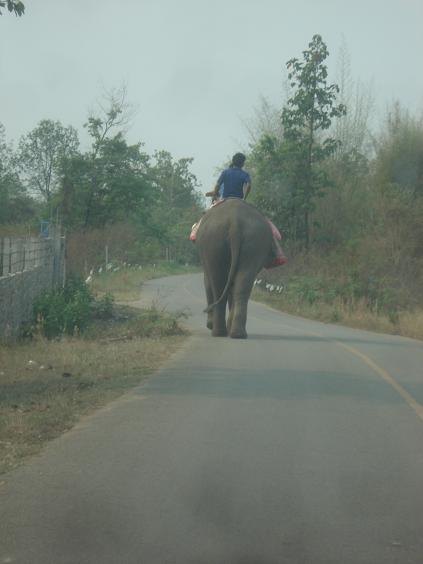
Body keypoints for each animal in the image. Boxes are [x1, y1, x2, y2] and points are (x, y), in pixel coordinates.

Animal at [197, 199, 276, 340]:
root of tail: (235, 223)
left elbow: (208, 283)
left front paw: (210, 324)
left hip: (214, 242)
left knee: (218, 285)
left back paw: (218, 332)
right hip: (253, 243)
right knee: (242, 285)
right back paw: (236, 334)